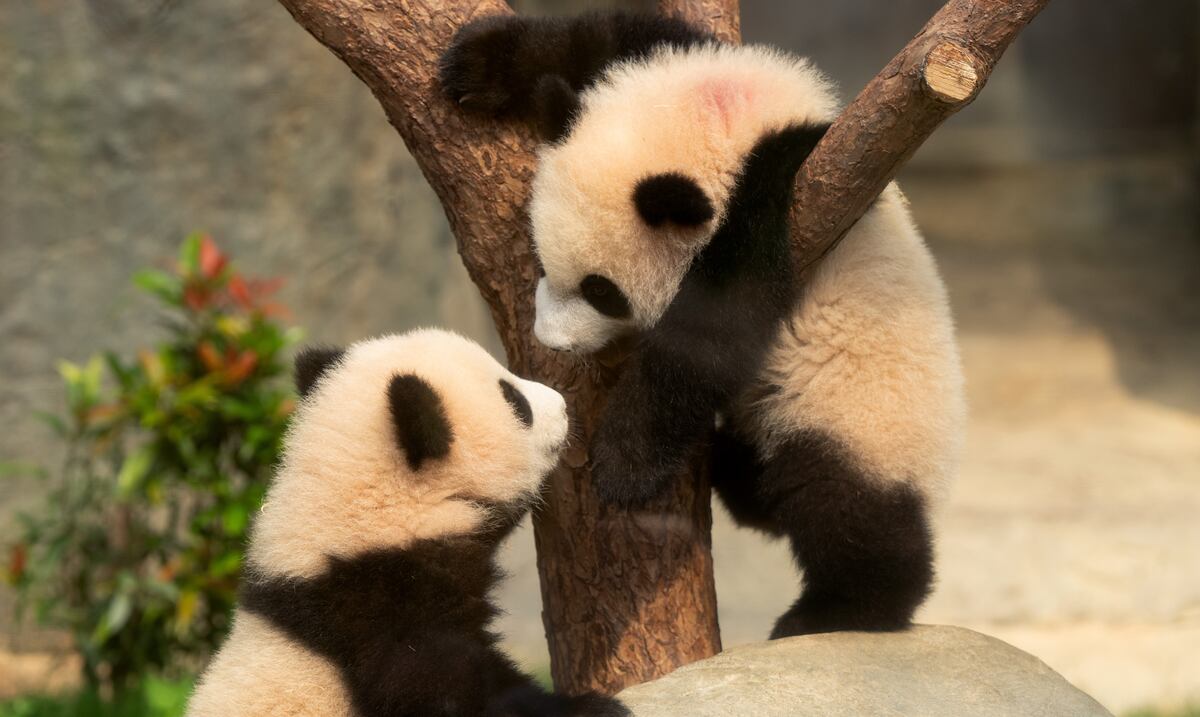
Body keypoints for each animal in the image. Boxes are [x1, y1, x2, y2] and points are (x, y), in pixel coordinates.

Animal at [441, 12, 966, 639]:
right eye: (542, 259)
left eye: (601, 291)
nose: (552, 341)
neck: (729, 120)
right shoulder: (690, 56)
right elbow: (605, 35)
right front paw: (479, 62)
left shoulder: (794, 187)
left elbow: (713, 332)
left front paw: (623, 464)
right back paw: (733, 470)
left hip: (862, 419)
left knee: (847, 511)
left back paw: (837, 609)